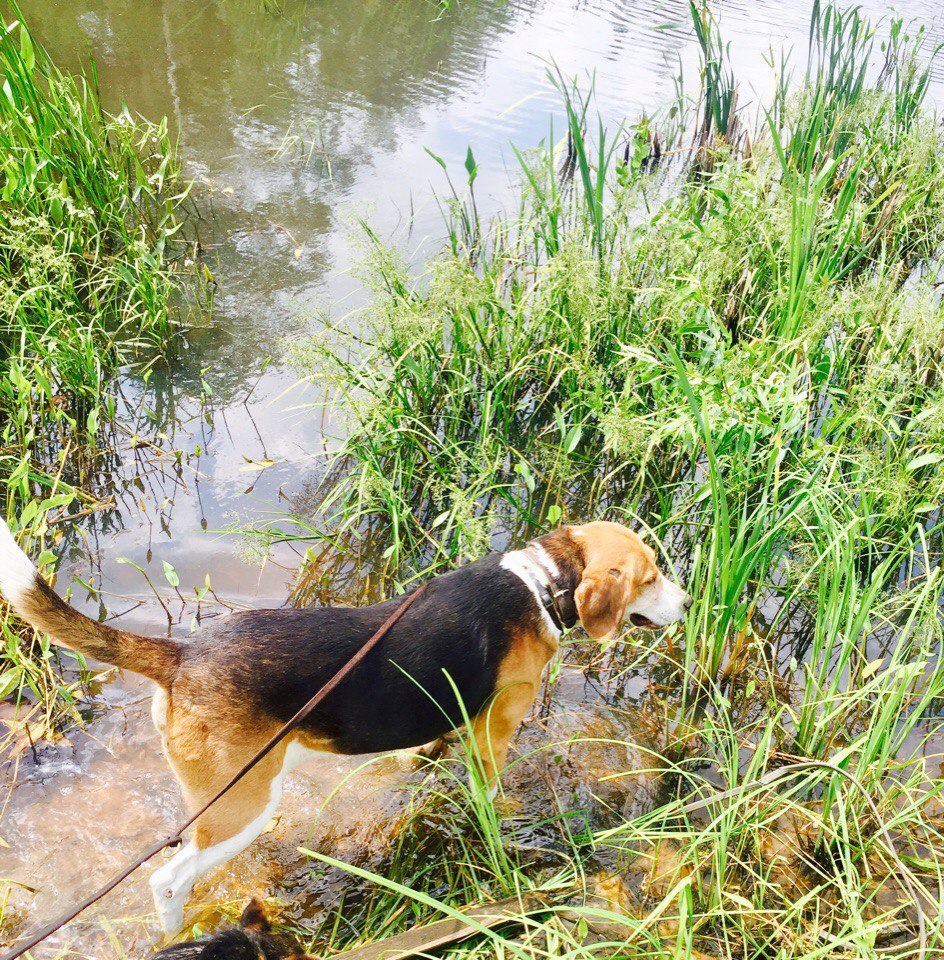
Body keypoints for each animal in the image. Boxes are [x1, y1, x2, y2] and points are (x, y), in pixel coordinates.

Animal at [1, 516, 692, 928]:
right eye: (651, 576)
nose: (686, 603)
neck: (541, 585)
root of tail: (182, 654)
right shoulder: (494, 736)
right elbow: (493, 800)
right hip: (240, 807)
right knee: (168, 881)